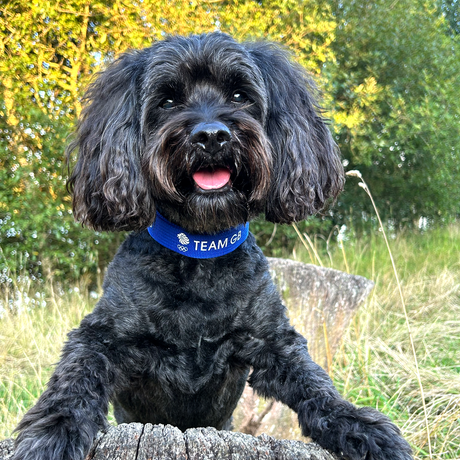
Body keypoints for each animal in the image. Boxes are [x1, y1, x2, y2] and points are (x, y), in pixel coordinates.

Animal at [13, 33, 414, 460]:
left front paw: (359, 426)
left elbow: (316, 384)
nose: (210, 136)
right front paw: (52, 433)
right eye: (167, 101)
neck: (200, 251)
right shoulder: (100, 335)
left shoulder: (275, 341)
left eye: (240, 95)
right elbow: (74, 378)